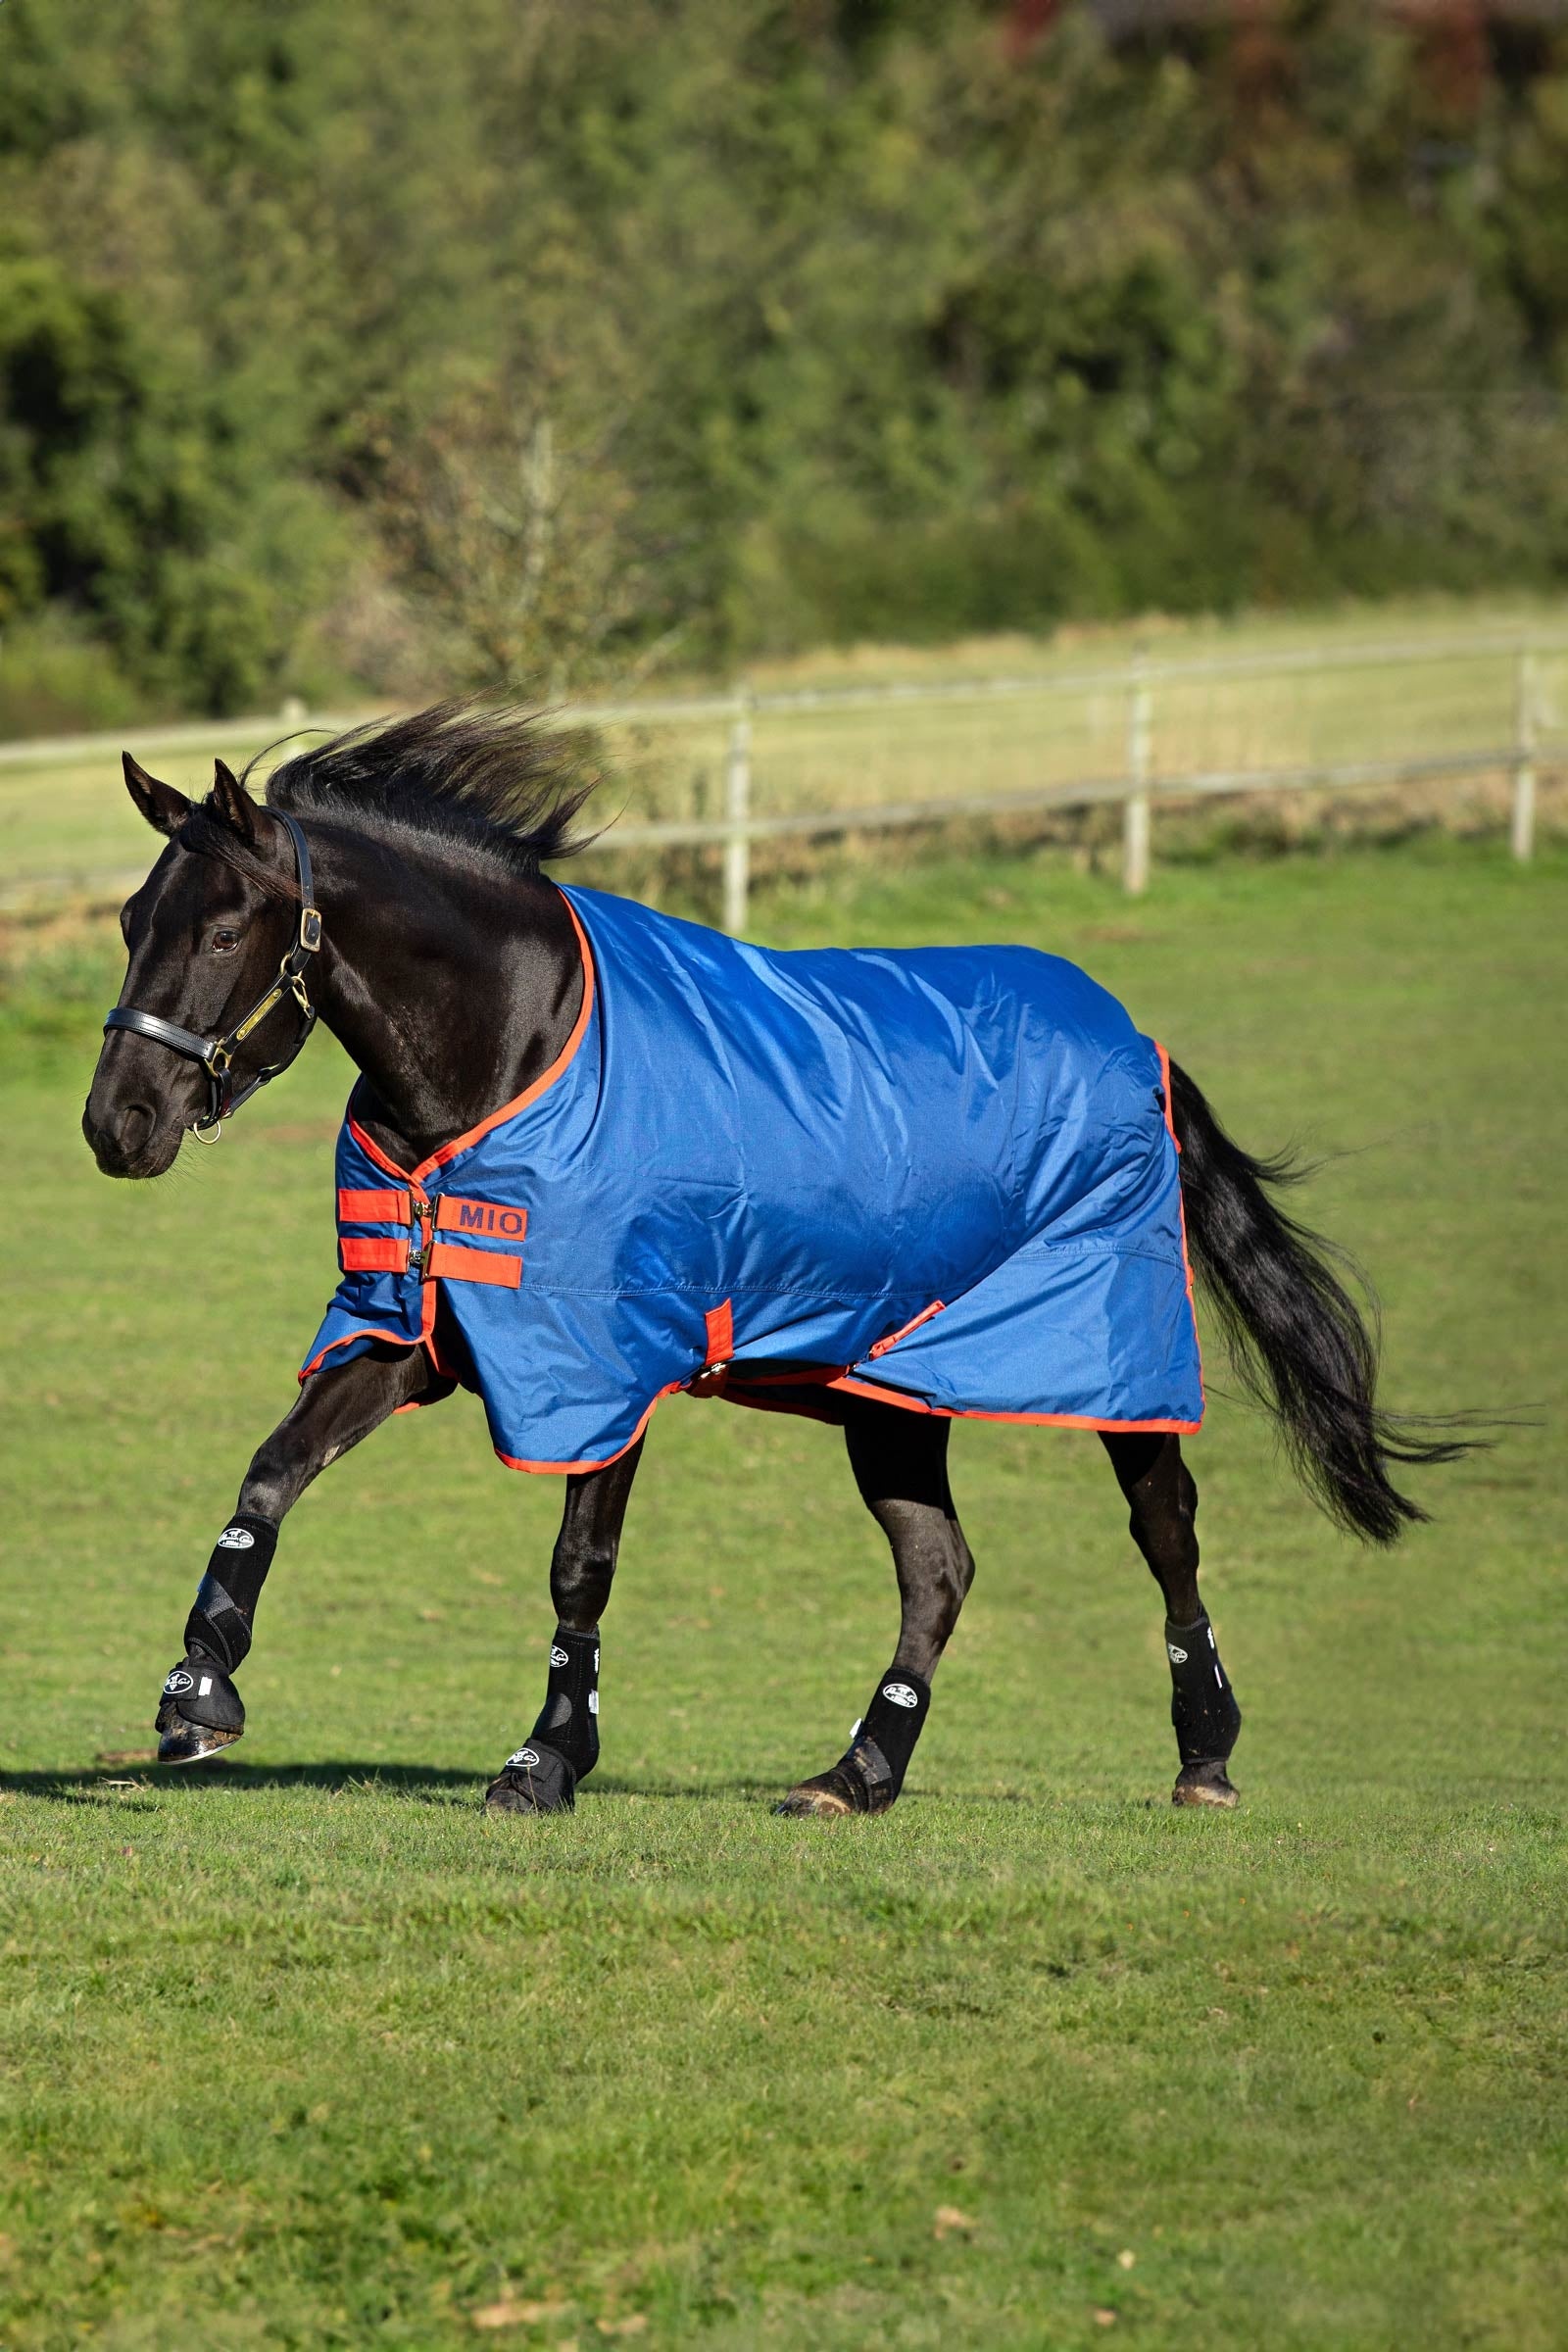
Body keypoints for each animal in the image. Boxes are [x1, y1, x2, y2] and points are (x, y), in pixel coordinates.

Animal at [82, 703, 1466, 1817]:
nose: (118, 1123)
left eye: (222, 930)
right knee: (939, 1572)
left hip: (1107, 1360)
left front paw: (545, 1761)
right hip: (892, 1389)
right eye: (133, 919)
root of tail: (1138, 1042)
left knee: (1166, 1534)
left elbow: (579, 1566)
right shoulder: (412, 1331)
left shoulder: (607, 1363)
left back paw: (1204, 1755)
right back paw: (858, 1776)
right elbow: (271, 1475)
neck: (514, 1047)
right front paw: (197, 1691)